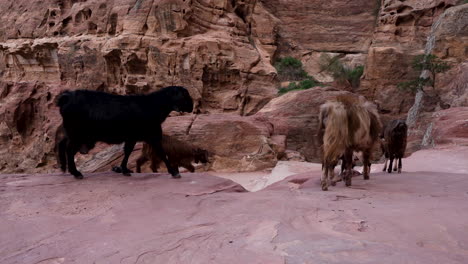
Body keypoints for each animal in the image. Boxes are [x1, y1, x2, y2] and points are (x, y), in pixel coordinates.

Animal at [56, 85, 192, 178]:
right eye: (184, 96)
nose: (191, 106)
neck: (153, 106)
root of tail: (66, 98)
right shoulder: (152, 135)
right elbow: (162, 153)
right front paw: (173, 172)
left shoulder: (132, 137)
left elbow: (127, 151)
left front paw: (124, 169)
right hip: (77, 134)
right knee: (69, 150)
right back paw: (76, 173)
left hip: (73, 133)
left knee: (62, 145)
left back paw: (65, 168)